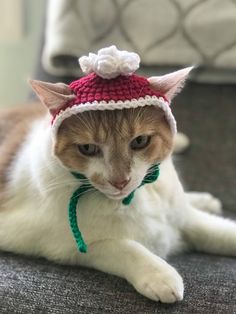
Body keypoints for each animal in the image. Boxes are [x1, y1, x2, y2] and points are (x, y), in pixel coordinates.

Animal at [0, 67, 235, 304]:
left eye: (140, 141)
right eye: (87, 148)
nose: (120, 181)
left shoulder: (185, 218)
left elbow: (219, 231)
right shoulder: (58, 243)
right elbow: (122, 246)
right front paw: (159, 274)